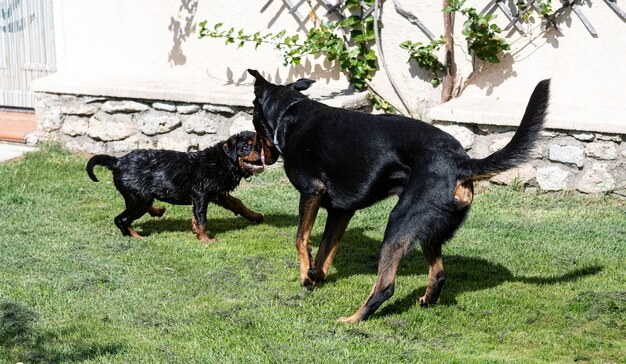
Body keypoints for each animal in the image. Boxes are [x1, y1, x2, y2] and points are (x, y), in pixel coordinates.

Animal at [84, 131, 264, 242]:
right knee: (121, 219)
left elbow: (237, 203)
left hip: (139, 196)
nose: (260, 152)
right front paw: (206, 239)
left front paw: (255, 216)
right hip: (139, 199)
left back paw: (157, 211)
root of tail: (118, 160)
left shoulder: (218, 193)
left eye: (259, 144)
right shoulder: (201, 193)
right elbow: (202, 217)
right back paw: (137, 237)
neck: (224, 160)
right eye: (246, 147)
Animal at [246, 69, 548, 322]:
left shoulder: (312, 191)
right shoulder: (341, 211)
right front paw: (315, 275)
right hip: (426, 228)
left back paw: (353, 319)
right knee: (439, 273)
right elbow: (326, 249)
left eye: (252, 117)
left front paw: (305, 277)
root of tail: (463, 162)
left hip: (400, 221)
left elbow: (301, 239)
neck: (291, 112)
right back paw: (426, 300)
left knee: (386, 286)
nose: (260, 155)